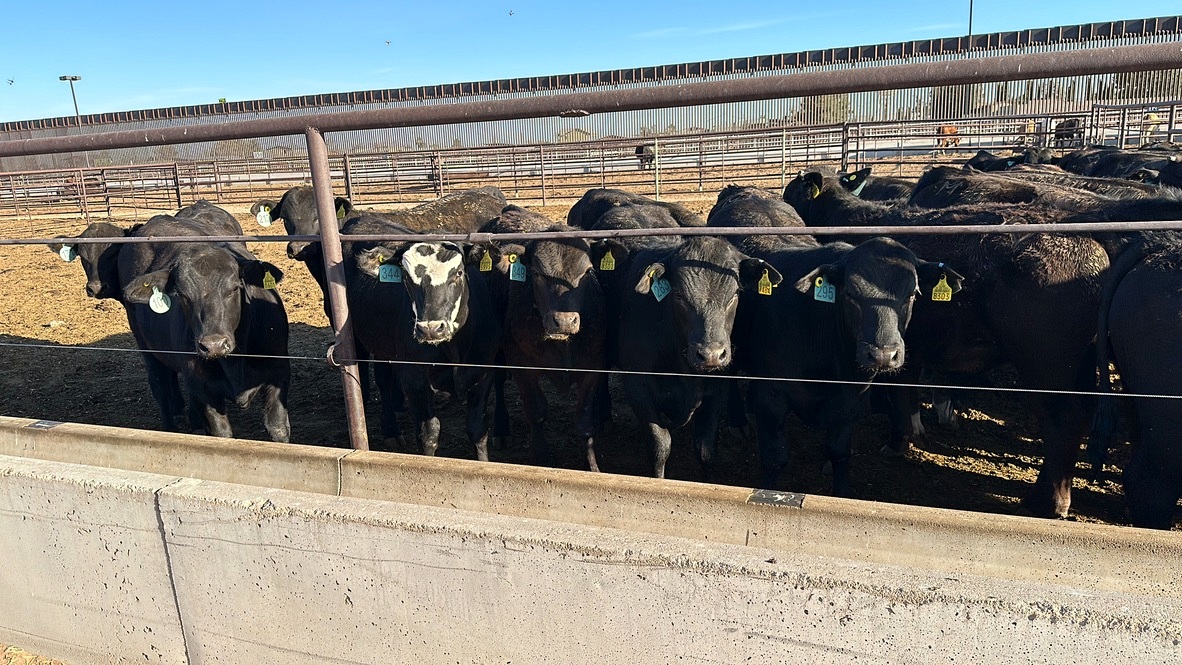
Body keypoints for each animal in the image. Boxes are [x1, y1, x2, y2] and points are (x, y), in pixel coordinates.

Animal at [117, 211, 291, 442]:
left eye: (234, 288)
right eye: (182, 295)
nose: (214, 345)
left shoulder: (278, 373)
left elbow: (278, 428)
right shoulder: (205, 389)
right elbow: (221, 434)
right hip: (147, 348)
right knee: (161, 388)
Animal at [343, 213, 502, 461]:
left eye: (458, 273)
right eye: (406, 277)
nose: (430, 329)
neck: (454, 351)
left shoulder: (484, 372)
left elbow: (477, 429)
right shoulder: (413, 378)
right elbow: (429, 434)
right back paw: (390, 431)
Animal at [477, 206, 607, 470]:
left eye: (588, 271)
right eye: (536, 273)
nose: (564, 321)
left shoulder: (593, 367)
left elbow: (585, 420)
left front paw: (593, 467)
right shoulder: (521, 364)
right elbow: (536, 412)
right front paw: (541, 460)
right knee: (498, 382)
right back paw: (501, 429)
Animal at [709, 185, 962, 494]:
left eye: (912, 293)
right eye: (850, 294)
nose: (883, 355)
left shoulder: (850, 399)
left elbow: (839, 451)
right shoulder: (772, 396)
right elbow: (775, 457)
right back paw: (738, 419)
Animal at [784, 170, 1110, 518]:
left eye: (791, 194)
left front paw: (894, 443)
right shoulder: (907, 349)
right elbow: (905, 393)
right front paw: (905, 437)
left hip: (1048, 367)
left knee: (1063, 420)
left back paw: (1048, 501)